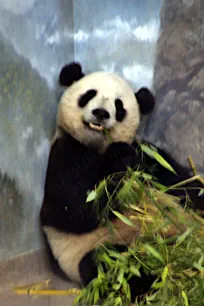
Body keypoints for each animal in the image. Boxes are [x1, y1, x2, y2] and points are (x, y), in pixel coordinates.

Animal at [40, 61, 203, 302]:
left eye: (119, 106)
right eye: (89, 94)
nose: (100, 113)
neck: (97, 147)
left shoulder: (147, 155)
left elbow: (181, 182)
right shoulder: (65, 152)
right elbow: (75, 211)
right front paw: (119, 156)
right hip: (102, 248)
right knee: (118, 264)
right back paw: (161, 276)